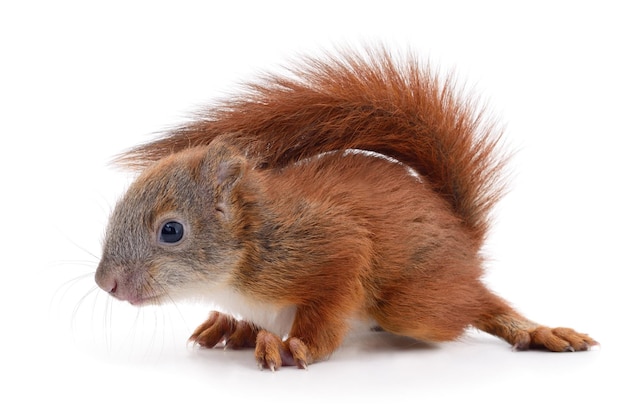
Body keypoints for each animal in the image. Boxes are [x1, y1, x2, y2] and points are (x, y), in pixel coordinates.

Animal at [92, 47, 596, 370]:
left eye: (171, 231)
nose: (105, 283)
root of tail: (461, 232)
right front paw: (230, 325)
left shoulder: (330, 248)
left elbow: (327, 310)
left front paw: (294, 348)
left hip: (414, 304)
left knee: (474, 302)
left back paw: (536, 330)